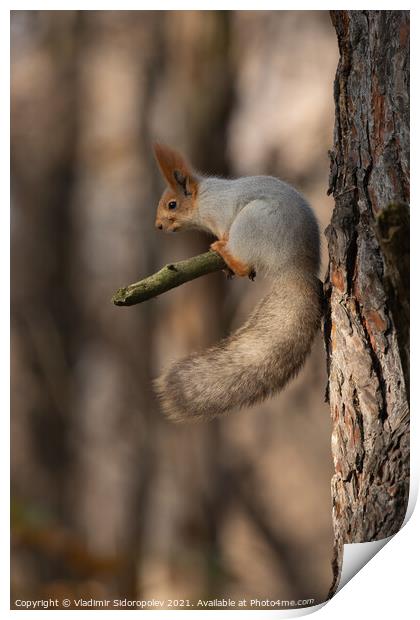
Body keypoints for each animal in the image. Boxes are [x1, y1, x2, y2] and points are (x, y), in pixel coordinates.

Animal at [154, 142, 322, 422]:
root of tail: (294, 267)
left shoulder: (220, 214)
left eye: (172, 205)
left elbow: (223, 227)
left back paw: (226, 252)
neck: (202, 198)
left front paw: (220, 241)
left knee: (243, 259)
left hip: (251, 223)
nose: (157, 226)